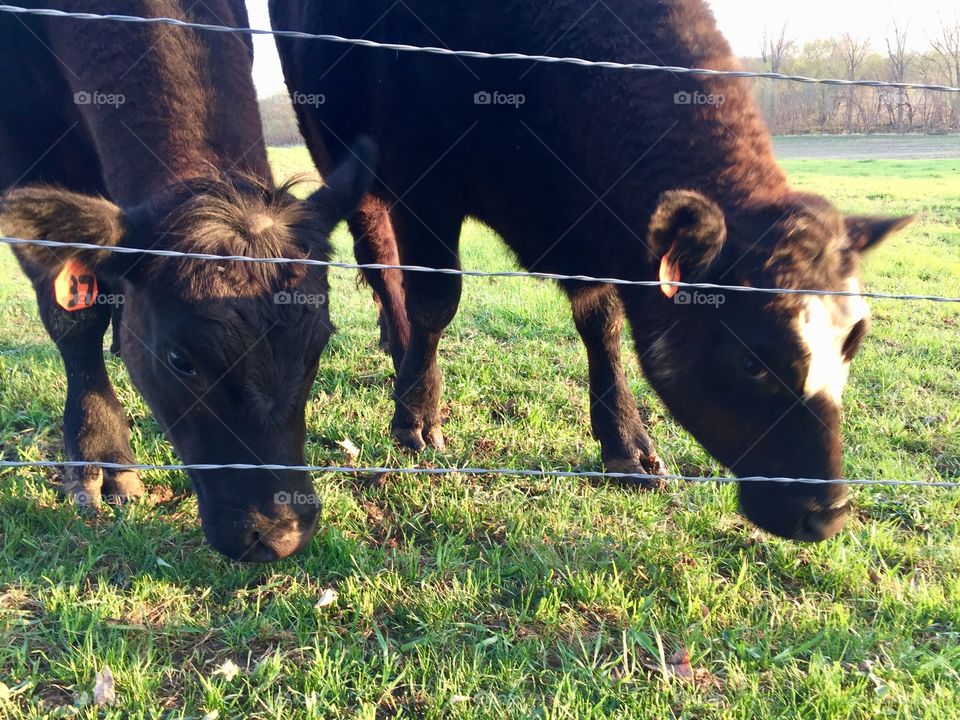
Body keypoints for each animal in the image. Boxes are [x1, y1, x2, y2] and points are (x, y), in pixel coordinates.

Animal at [270, 0, 908, 540]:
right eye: (750, 359)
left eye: (853, 345)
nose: (828, 513)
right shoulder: (425, 186)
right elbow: (435, 301)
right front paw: (416, 416)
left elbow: (601, 325)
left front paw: (626, 443)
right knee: (382, 263)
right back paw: (401, 350)